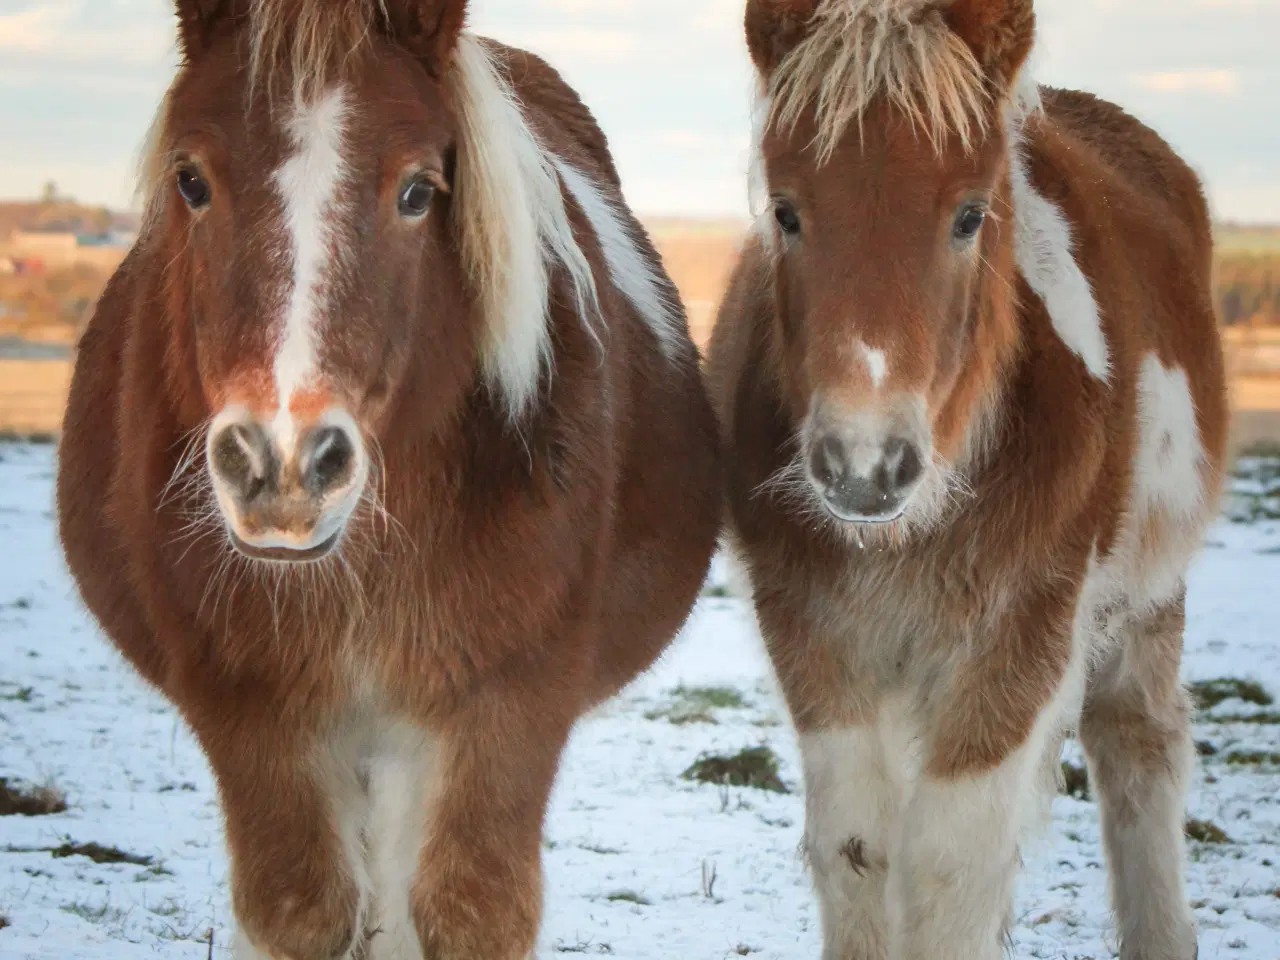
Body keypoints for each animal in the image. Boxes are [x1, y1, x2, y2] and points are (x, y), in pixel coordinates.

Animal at [57, 1, 721, 960]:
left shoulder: (505, 705)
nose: (284, 466)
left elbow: (464, 911)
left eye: (417, 189)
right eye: (190, 180)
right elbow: (301, 912)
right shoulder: (253, 713)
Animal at [711, 1, 1228, 960]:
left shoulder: (1023, 637)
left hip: (1145, 596)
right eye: (788, 212)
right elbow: (858, 851)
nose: (865, 466)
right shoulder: (814, 635)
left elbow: (951, 869)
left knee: (1140, 745)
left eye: (969, 215)